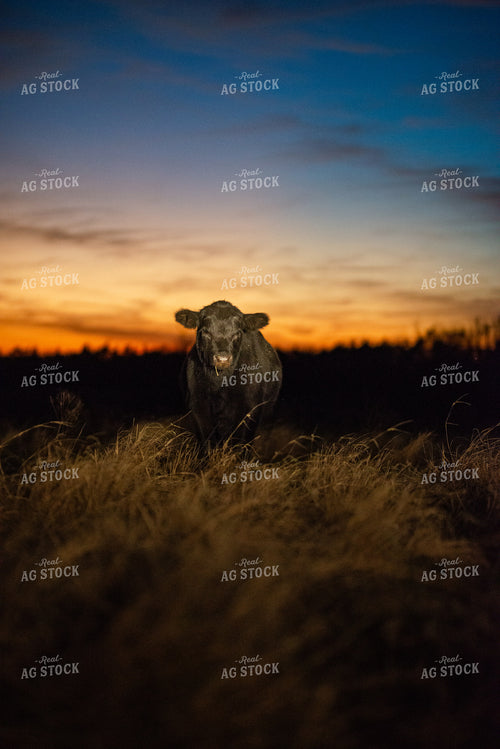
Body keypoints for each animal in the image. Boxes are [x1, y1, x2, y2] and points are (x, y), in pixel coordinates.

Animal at [175, 300, 282, 446]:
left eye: (237, 333)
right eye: (205, 332)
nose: (223, 358)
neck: (220, 382)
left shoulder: (251, 408)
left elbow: (241, 443)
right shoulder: (197, 406)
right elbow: (207, 441)